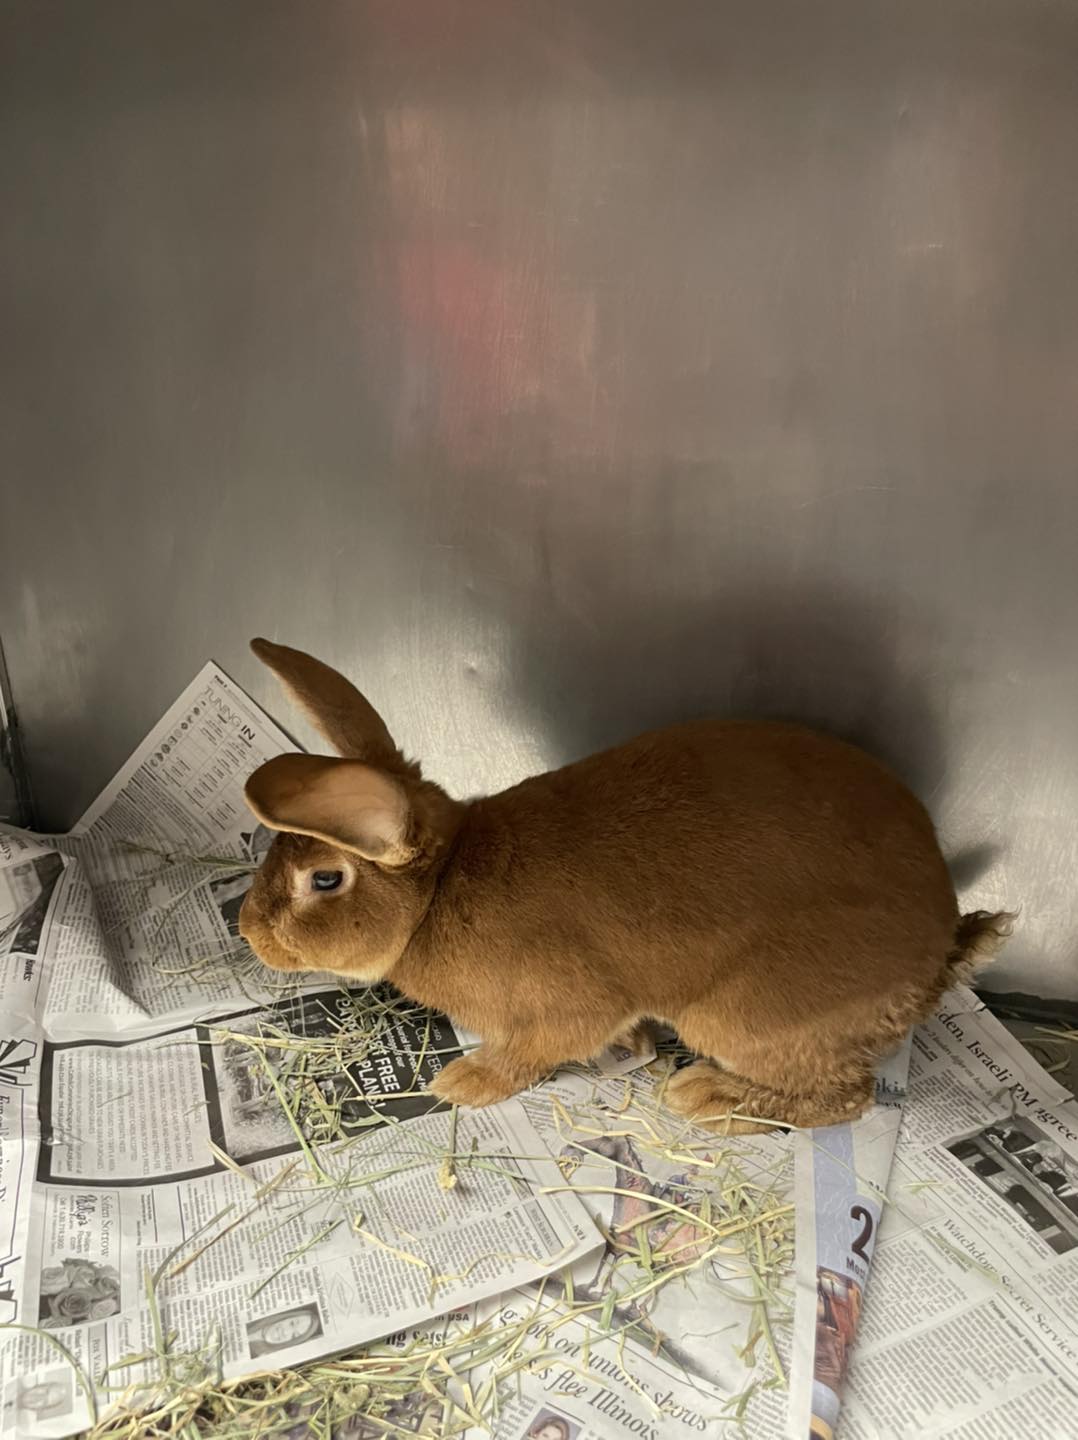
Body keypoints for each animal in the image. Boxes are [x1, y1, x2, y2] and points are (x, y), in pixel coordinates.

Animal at [237, 639, 1014, 1133]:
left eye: (325, 878)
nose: (247, 932)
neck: (438, 893)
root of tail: (936, 961)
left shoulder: (562, 1007)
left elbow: (533, 1051)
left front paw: (461, 1084)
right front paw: (632, 1047)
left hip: (742, 1017)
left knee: (847, 1097)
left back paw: (706, 1097)